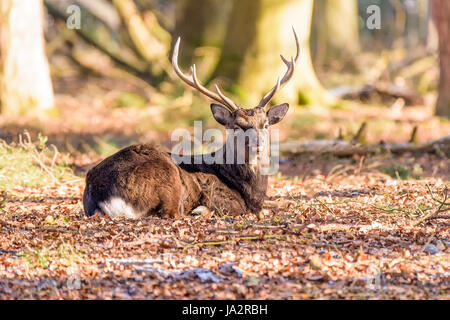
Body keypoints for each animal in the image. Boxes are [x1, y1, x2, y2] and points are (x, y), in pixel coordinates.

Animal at [82, 29, 300, 218]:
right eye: (236, 126)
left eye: (266, 124)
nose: (257, 144)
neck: (251, 195)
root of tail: (99, 193)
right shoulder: (226, 200)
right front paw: (202, 209)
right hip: (168, 180)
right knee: (171, 213)